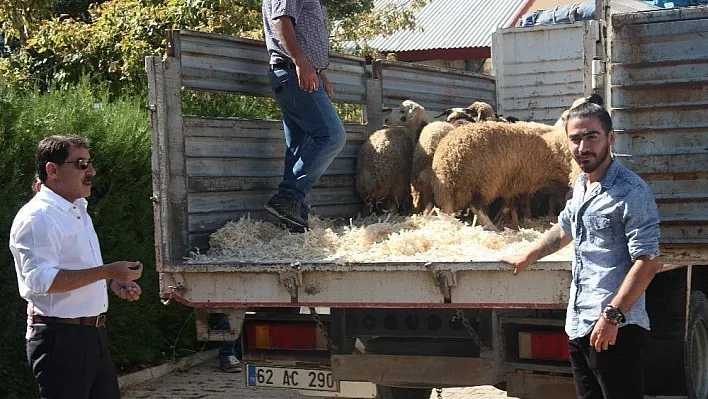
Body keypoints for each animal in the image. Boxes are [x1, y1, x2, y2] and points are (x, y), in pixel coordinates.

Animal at [432, 123, 568, 233]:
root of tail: (447, 162)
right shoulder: (519, 182)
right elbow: (515, 205)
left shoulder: (512, 185)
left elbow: (509, 206)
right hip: (483, 181)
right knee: (477, 207)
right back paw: (492, 227)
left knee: (448, 211)